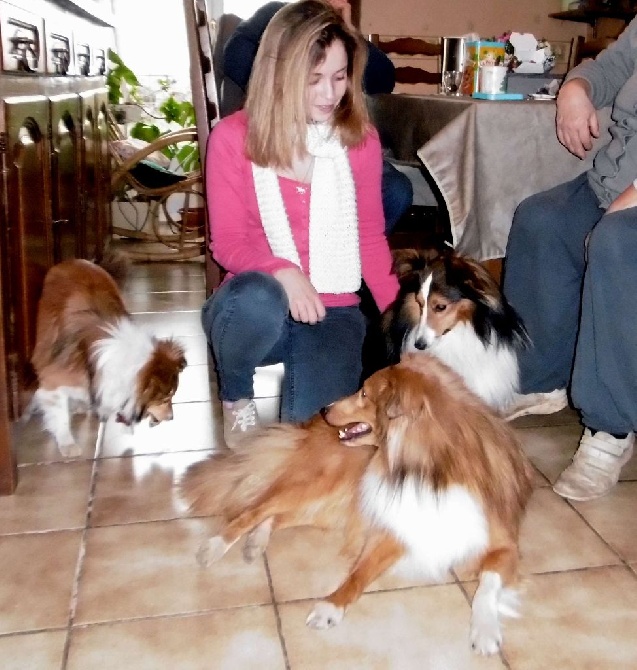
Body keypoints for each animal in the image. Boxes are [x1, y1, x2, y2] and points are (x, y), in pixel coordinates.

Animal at [27, 258, 186, 456]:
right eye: (165, 398)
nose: (171, 417)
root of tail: (76, 260)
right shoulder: (53, 382)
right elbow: (60, 415)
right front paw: (67, 444)